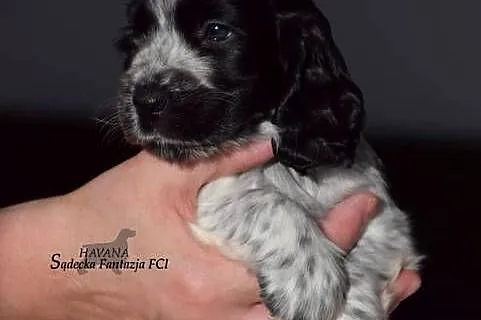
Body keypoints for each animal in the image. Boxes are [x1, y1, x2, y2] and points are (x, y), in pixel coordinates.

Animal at [116, 0, 420, 320]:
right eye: (135, 40)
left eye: (217, 31)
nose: (145, 101)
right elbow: (263, 199)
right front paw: (310, 282)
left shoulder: (380, 211)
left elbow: (369, 256)